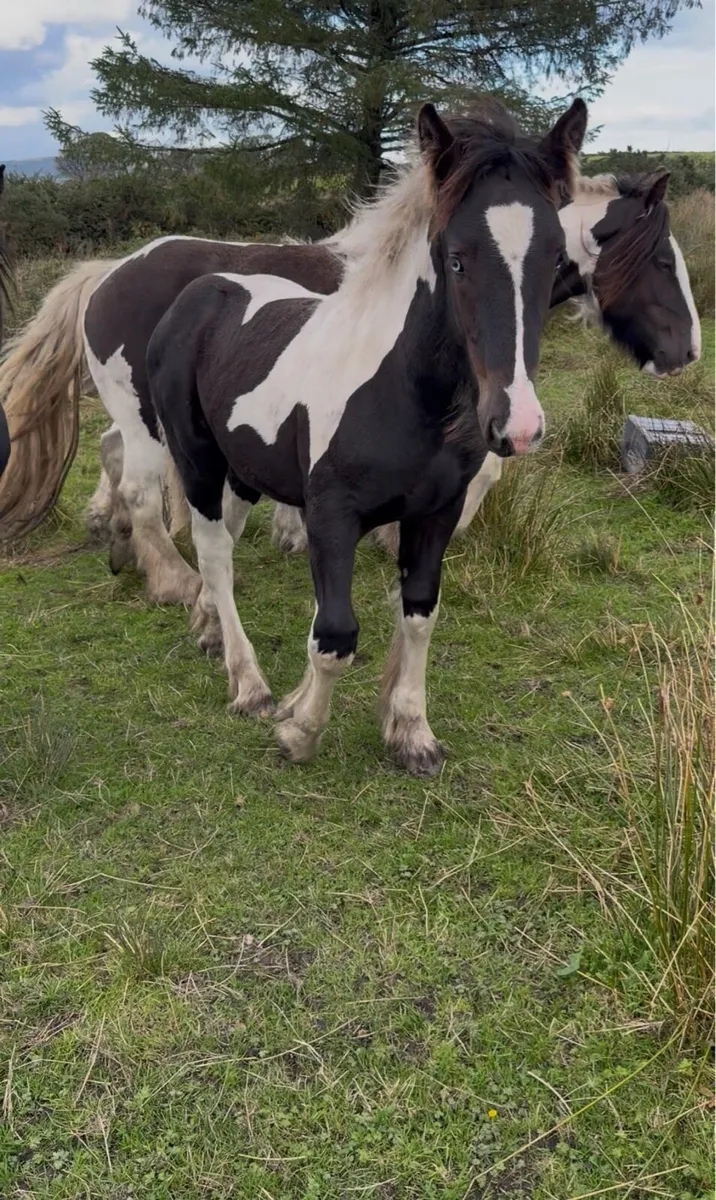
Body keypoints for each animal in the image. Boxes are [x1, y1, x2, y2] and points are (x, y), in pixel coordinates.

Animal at [142, 98, 587, 775]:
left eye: (556, 259)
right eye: (456, 258)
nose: (518, 426)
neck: (400, 393)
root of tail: (201, 292)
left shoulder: (436, 513)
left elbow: (420, 613)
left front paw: (411, 733)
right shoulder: (331, 516)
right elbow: (335, 635)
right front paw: (298, 729)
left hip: (244, 470)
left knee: (224, 544)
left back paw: (210, 630)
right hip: (197, 460)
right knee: (214, 552)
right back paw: (248, 684)